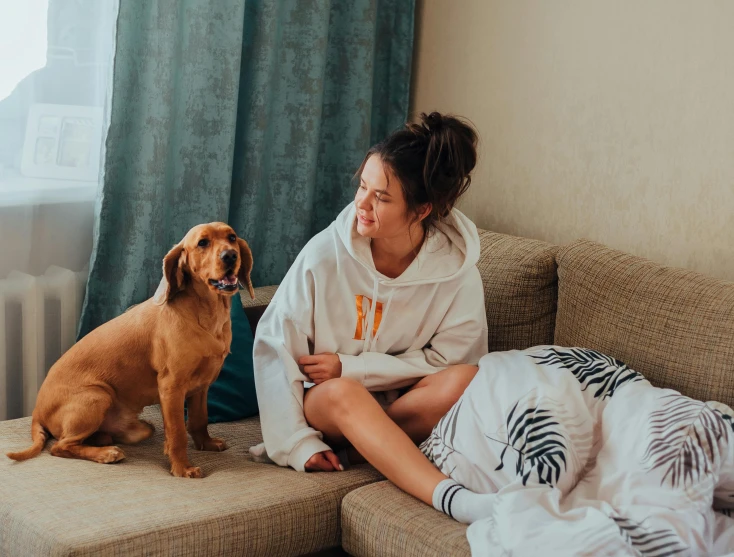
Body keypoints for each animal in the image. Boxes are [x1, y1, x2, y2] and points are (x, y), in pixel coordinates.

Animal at [5, 222, 256, 478]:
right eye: (203, 243)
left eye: (232, 237)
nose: (230, 255)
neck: (206, 314)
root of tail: (37, 411)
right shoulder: (172, 387)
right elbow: (177, 433)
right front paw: (181, 468)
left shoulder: (201, 386)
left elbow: (198, 420)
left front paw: (205, 444)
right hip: (97, 395)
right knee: (60, 446)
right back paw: (106, 453)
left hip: (139, 425)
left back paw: (102, 440)